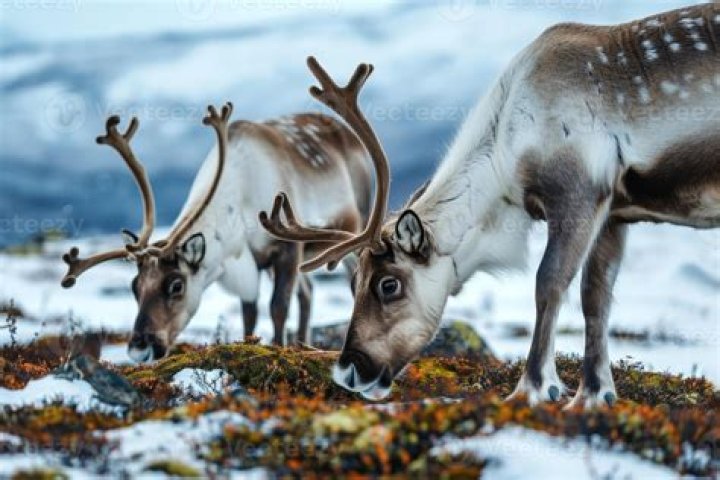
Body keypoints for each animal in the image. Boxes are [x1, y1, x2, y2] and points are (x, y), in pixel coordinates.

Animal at [60, 102, 372, 363]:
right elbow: (250, 314)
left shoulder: (286, 249)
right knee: (307, 291)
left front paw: (279, 350)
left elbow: (278, 307)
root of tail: (346, 130)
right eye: (135, 286)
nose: (140, 349)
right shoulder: (253, 266)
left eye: (176, 285)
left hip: (354, 231)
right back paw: (303, 345)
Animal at [261, 2, 720, 408]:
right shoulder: (616, 212)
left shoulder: (578, 195)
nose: (348, 371)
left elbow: (549, 283)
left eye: (389, 284)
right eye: (353, 281)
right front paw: (594, 394)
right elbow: (596, 298)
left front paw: (535, 387)